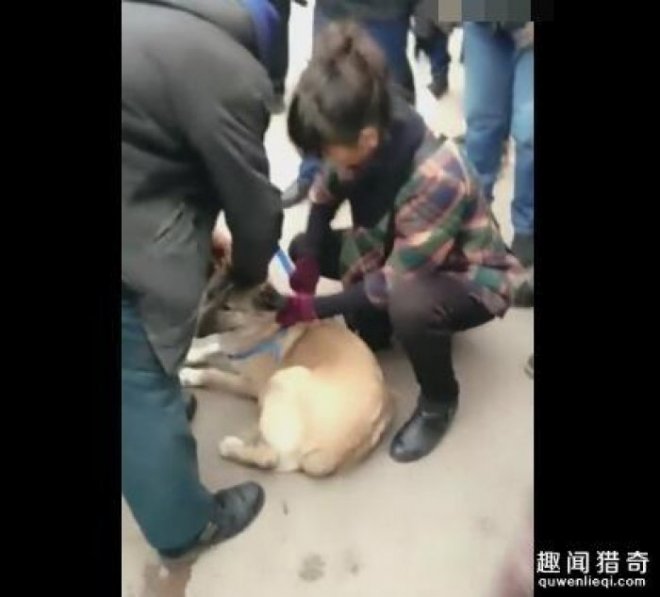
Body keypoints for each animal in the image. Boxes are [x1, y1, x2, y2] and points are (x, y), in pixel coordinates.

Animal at [179, 233, 393, 477]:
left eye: (227, 308)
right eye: (209, 295)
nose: (193, 331)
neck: (258, 325)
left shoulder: (251, 384)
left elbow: (215, 374)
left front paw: (191, 375)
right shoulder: (232, 349)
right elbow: (213, 347)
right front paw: (193, 353)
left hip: (284, 377)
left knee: (271, 458)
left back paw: (232, 447)